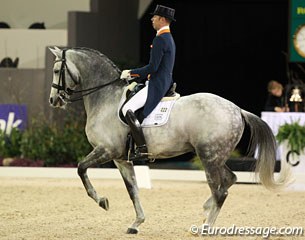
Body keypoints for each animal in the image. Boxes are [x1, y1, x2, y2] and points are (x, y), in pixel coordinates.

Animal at [48, 46, 288, 234]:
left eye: (57, 70)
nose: (53, 100)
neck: (106, 98)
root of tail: (237, 109)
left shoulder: (106, 150)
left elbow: (81, 168)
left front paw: (102, 201)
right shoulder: (121, 159)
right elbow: (132, 190)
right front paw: (136, 223)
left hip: (209, 157)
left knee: (220, 190)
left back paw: (206, 227)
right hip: (215, 156)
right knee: (230, 179)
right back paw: (205, 210)